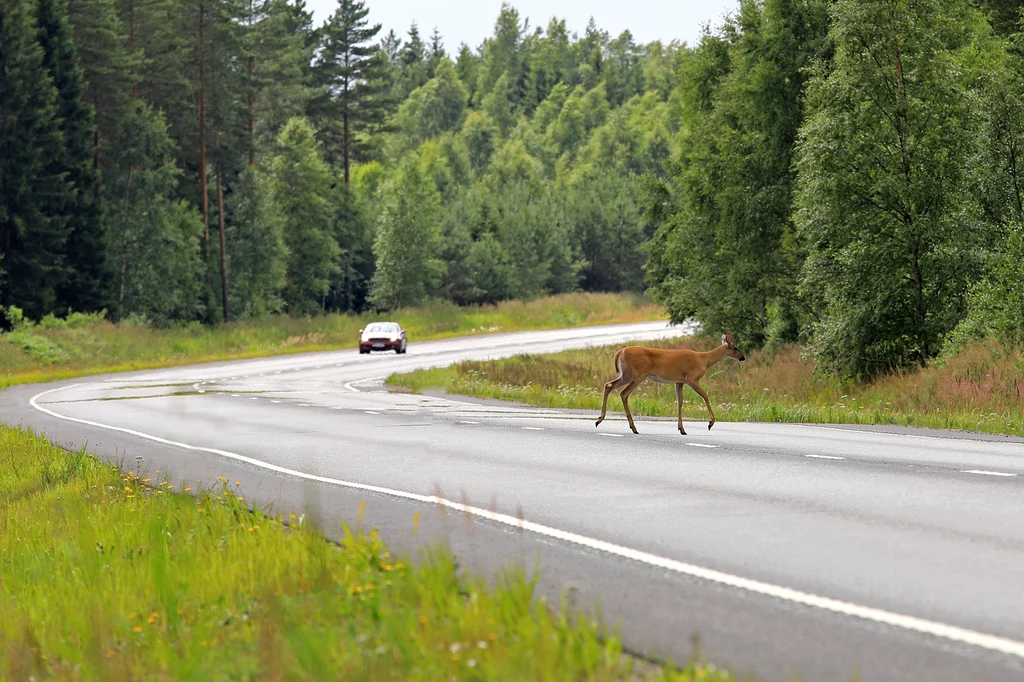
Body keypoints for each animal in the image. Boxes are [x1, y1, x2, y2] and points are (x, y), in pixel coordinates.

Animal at [593, 333, 745, 436]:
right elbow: (705, 396)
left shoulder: (679, 381)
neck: (704, 360)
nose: (743, 357)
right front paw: (710, 423)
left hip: (626, 374)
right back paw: (633, 428)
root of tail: (620, 352)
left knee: (608, 385)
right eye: (736, 347)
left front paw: (682, 429)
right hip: (638, 374)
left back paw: (599, 420)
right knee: (624, 393)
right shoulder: (692, 379)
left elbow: (680, 401)